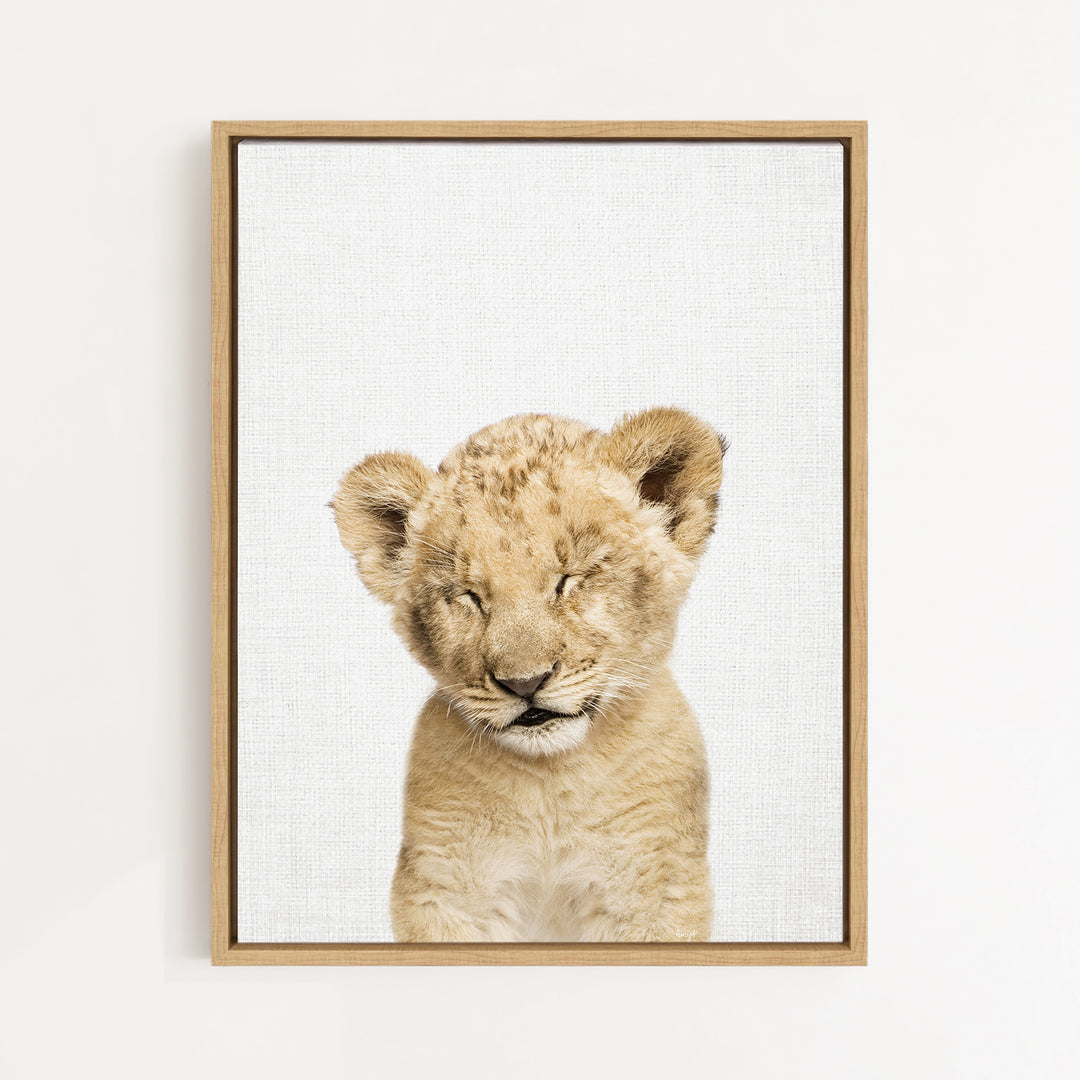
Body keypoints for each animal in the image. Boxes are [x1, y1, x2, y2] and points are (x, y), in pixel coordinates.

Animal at [331, 407, 726, 942]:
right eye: (470, 595)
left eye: (569, 579)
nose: (525, 683)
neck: (549, 784)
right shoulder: (444, 886)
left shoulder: (655, 884)